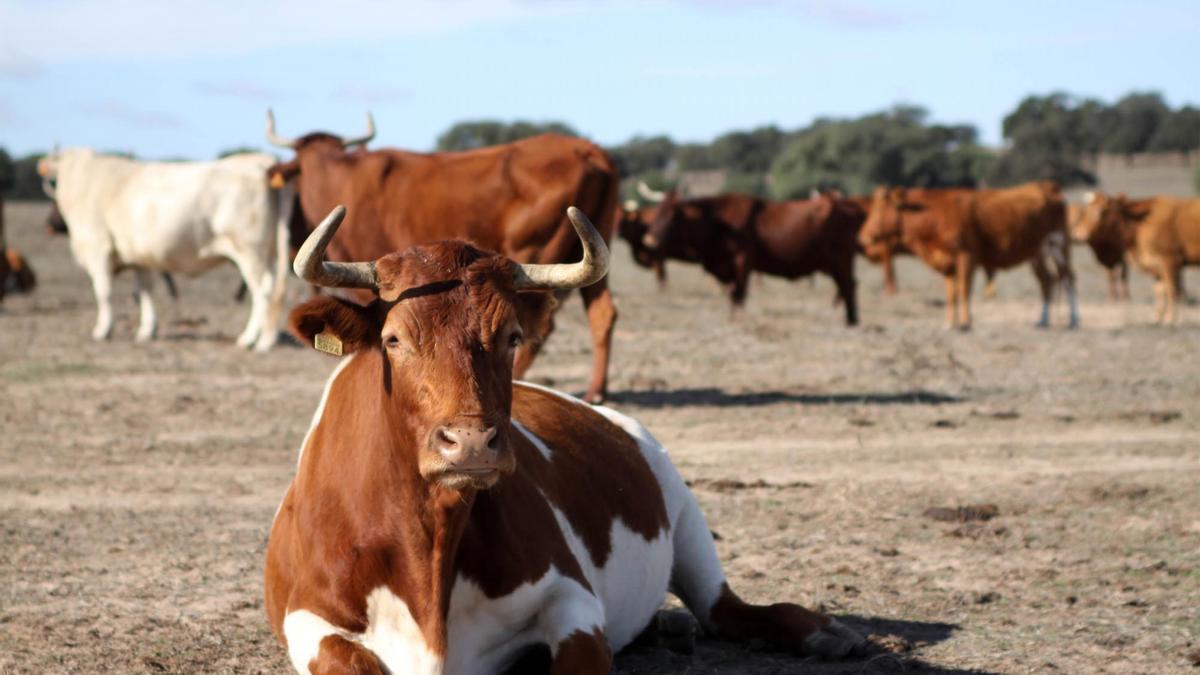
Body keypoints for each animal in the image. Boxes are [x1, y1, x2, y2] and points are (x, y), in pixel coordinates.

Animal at [39, 148, 292, 348]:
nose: (48, 224)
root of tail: (263, 162)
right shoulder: (139, 258)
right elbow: (145, 291)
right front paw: (147, 330)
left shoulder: (97, 248)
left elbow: (103, 292)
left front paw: (103, 330)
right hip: (267, 252)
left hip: (249, 251)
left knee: (262, 291)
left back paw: (253, 339)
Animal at [265, 205, 864, 672]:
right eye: (393, 339)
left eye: (511, 336)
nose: (472, 442)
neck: (425, 544)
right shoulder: (307, 618)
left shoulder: (571, 598)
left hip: (687, 517)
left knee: (728, 611)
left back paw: (822, 634)